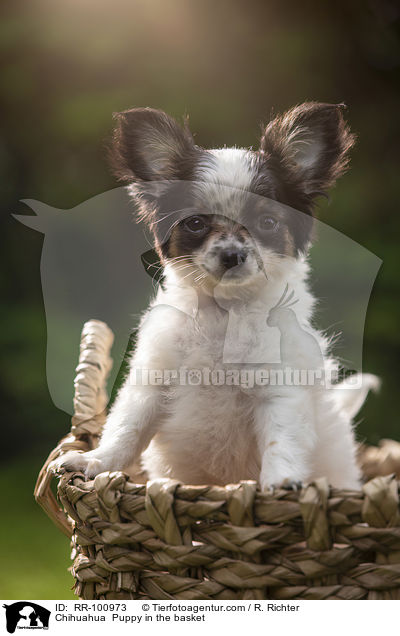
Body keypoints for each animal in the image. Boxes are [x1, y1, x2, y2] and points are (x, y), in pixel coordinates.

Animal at [52, 103, 378, 492]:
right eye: (196, 224)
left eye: (267, 223)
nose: (232, 255)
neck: (224, 314)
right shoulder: (152, 382)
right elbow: (126, 428)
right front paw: (96, 461)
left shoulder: (279, 390)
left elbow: (280, 438)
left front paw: (281, 482)